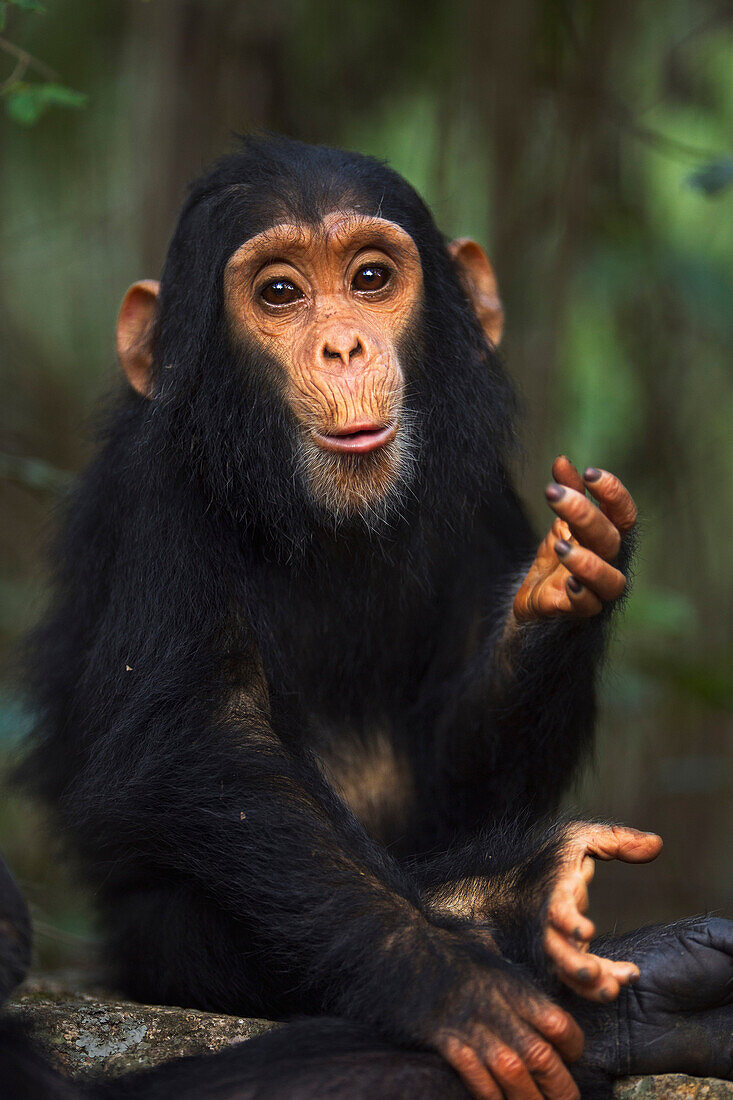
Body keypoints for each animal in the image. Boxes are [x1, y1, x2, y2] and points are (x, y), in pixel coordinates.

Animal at [11, 137, 730, 1100]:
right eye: (279, 293)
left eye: (370, 277)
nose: (343, 344)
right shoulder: (162, 496)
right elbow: (199, 735)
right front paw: (444, 976)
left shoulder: (481, 496)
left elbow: (458, 777)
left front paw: (560, 584)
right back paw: (549, 914)